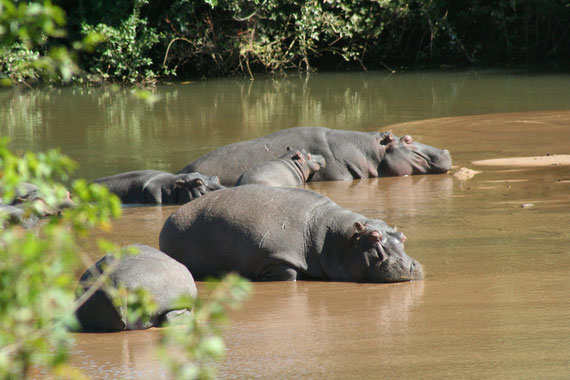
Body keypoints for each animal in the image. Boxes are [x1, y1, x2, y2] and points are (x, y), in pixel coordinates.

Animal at [160, 184, 422, 282]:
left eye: (403, 237)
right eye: (374, 237)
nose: (411, 265)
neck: (333, 239)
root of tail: (171, 218)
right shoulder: (276, 257)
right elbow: (288, 272)